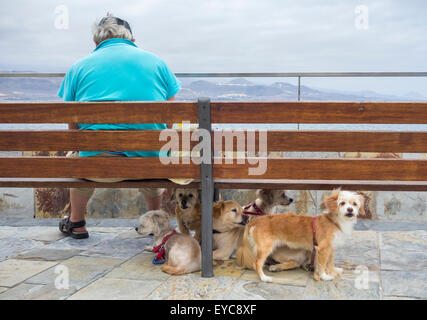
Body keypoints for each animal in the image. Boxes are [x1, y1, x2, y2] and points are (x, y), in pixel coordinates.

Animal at [236, 190, 366, 282]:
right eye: (342, 203)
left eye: (355, 204)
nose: (350, 210)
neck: (334, 221)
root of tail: (256, 221)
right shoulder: (323, 249)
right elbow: (322, 265)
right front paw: (324, 276)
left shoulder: (331, 248)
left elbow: (330, 262)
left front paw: (333, 270)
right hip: (266, 248)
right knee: (257, 263)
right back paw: (264, 278)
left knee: (295, 263)